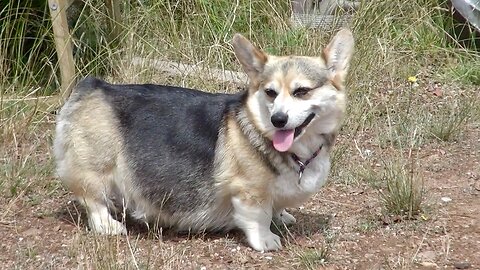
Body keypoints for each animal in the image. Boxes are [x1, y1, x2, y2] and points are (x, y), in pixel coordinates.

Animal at [54, 29, 354, 251]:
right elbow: (258, 217)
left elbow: (276, 207)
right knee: (93, 200)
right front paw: (266, 239)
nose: (277, 120)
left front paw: (282, 217)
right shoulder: (249, 191)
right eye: (270, 92)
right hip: (97, 169)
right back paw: (108, 225)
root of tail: (93, 86)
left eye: (301, 91)